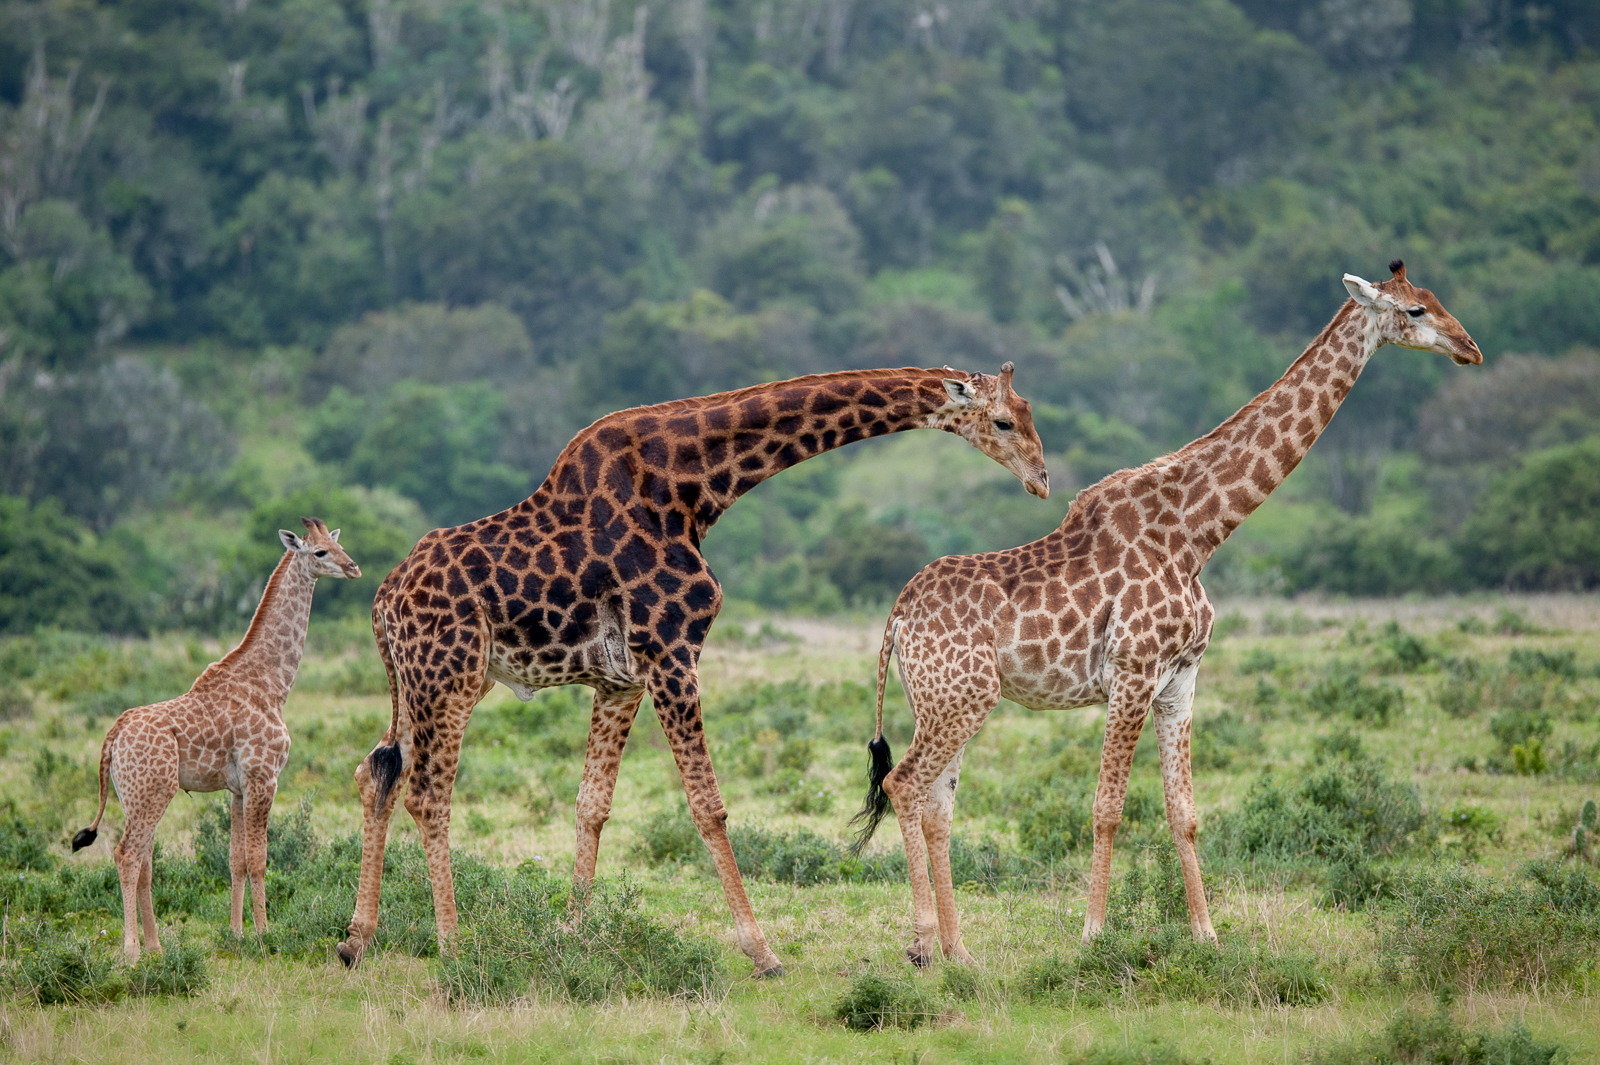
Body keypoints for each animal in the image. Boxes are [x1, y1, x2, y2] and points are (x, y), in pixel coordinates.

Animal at [72, 514, 360, 959]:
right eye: (320, 551)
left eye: (338, 543)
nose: (353, 567)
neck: (271, 684)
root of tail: (113, 736)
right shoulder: (264, 777)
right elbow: (259, 857)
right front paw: (264, 935)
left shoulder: (238, 788)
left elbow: (235, 859)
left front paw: (237, 933)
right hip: (153, 791)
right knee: (128, 855)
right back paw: (132, 951)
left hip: (133, 796)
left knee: (145, 860)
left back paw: (157, 947)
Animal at [328, 362, 1049, 972]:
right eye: (1004, 421)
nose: (1041, 478)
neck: (690, 486)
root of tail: (382, 603)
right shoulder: (672, 649)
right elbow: (709, 806)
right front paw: (762, 950)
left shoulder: (619, 678)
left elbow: (592, 804)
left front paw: (572, 933)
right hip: (447, 678)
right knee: (427, 791)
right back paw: (452, 946)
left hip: (424, 683)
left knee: (376, 772)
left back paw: (356, 939)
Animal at [857, 259, 1478, 959]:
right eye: (1415, 310)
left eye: (1433, 298)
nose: (1470, 348)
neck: (1198, 532)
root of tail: (896, 619)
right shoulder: (1132, 672)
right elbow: (1107, 808)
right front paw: (1094, 934)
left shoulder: (1180, 679)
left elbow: (1185, 813)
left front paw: (1207, 935)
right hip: (962, 698)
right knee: (903, 784)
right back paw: (922, 946)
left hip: (943, 699)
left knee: (936, 801)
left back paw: (960, 953)